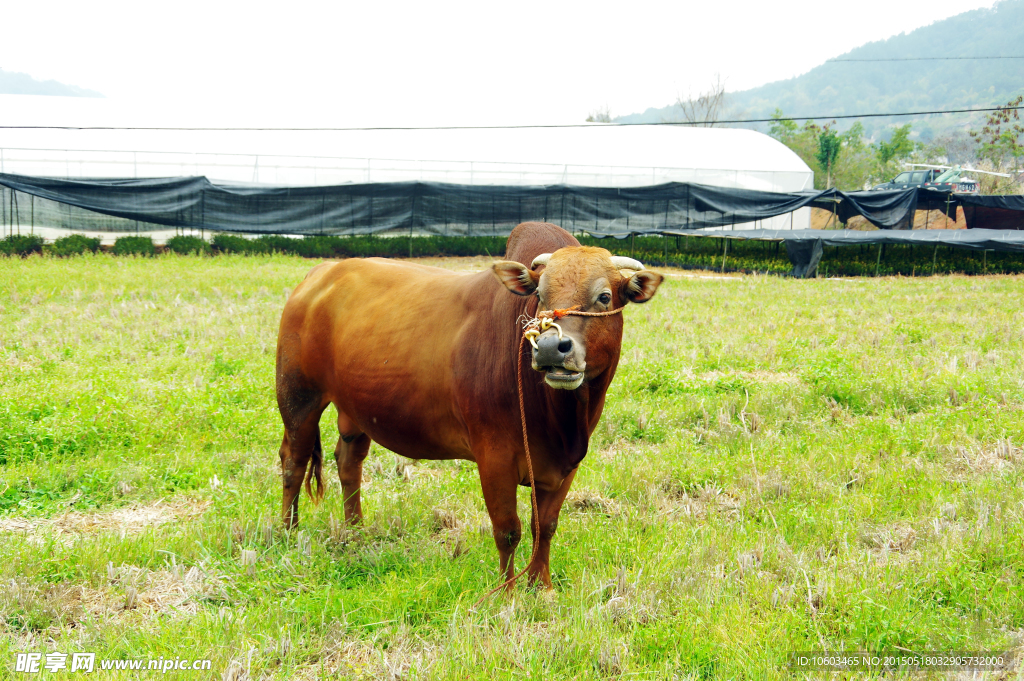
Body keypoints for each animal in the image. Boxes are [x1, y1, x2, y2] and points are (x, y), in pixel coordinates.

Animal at [276, 222, 667, 585]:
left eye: (604, 296)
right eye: (540, 294)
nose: (551, 348)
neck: (561, 419)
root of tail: (321, 273)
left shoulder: (566, 465)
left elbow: (546, 525)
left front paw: (540, 584)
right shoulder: (493, 456)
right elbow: (508, 530)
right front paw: (507, 593)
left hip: (354, 408)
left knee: (348, 461)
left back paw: (356, 530)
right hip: (298, 397)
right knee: (293, 460)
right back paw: (288, 532)